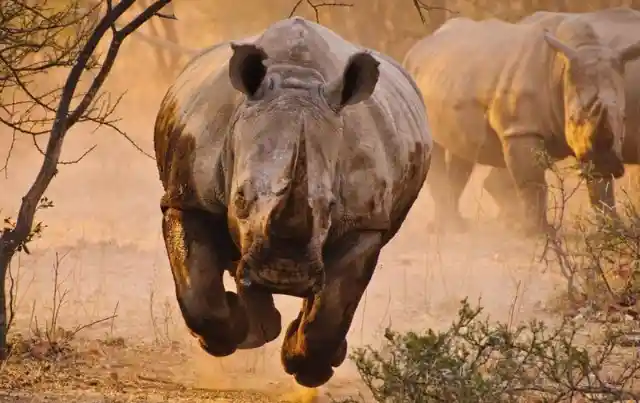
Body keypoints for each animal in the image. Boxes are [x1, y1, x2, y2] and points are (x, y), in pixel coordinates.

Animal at [153, 17, 432, 388]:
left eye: (331, 207)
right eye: (239, 198)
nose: (283, 275)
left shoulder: (365, 223)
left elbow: (332, 309)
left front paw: (308, 369)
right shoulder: (188, 198)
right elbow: (199, 295)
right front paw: (226, 336)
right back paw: (257, 328)